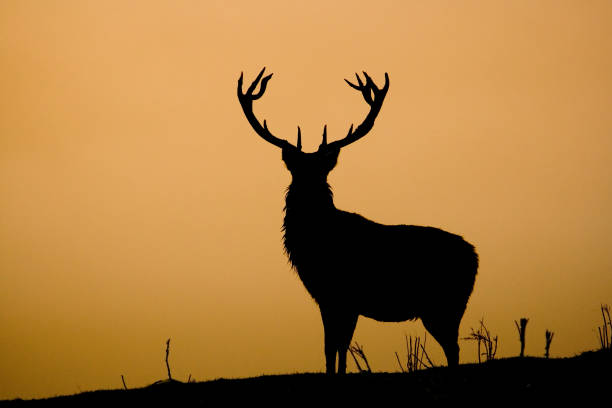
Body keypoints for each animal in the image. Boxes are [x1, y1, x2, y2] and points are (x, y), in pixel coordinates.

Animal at [237, 68, 480, 374]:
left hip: (443, 304)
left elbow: (338, 344)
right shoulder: (329, 298)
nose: (306, 190)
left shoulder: (344, 296)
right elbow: (332, 347)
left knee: (453, 348)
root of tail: (475, 257)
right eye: (297, 170)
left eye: (321, 170)